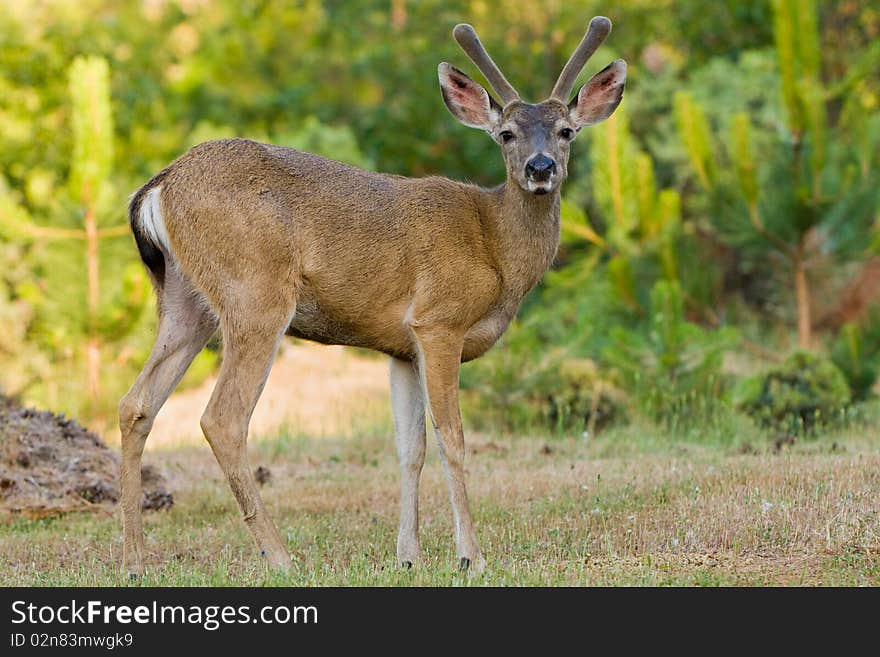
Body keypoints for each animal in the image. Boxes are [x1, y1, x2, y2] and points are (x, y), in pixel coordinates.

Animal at [120, 15, 624, 576]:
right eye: (507, 133)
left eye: (566, 131)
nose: (540, 168)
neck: (493, 245)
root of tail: (159, 187)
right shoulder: (439, 320)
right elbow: (452, 439)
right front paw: (470, 556)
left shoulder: (401, 347)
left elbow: (410, 447)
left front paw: (408, 556)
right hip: (255, 292)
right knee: (222, 418)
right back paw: (281, 556)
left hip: (185, 299)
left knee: (135, 404)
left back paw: (137, 559)